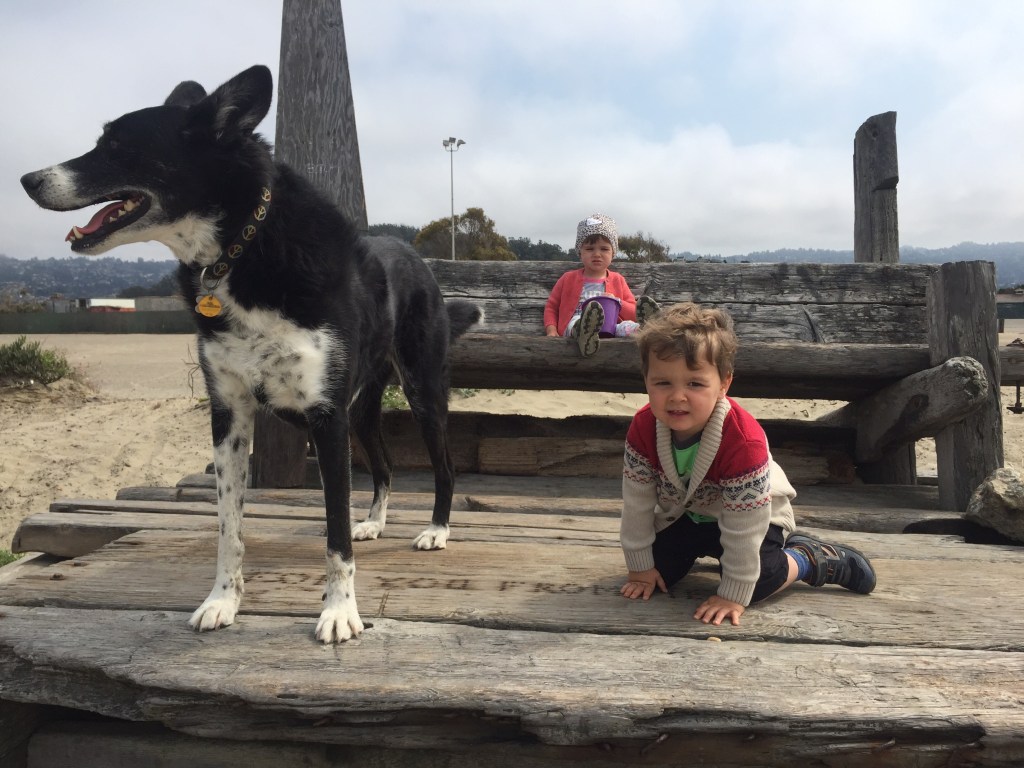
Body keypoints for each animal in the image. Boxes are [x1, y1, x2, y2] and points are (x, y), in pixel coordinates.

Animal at [21, 65, 481, 643]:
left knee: (444, 466)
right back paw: (374, 521)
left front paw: (339, 611)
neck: (240, 251)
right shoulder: (231, 413)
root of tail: (419, 260)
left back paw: (437, 530)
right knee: (385, 464)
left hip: (421, 392)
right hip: (361, 409)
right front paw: (222, 600)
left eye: (118, 145)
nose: (27, 180)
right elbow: (229, 527)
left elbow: (334, 533)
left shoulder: (326, 417)